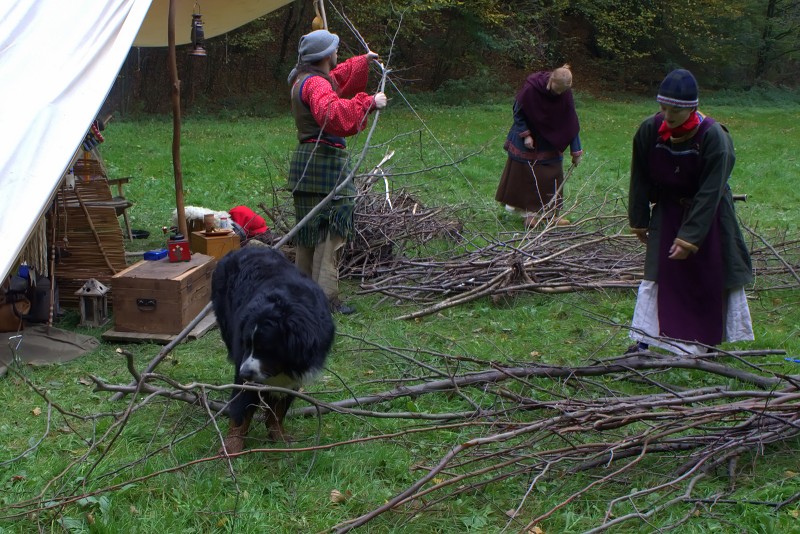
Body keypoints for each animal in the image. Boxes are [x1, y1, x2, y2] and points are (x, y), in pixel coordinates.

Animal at [209, 246, 334, 452]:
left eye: (265, 348)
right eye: (246, 344)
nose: (244, 372)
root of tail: (241, 248)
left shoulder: (292, 377)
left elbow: (278, 411)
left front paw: (279, 436)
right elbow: (241, 409)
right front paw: (232, 445)